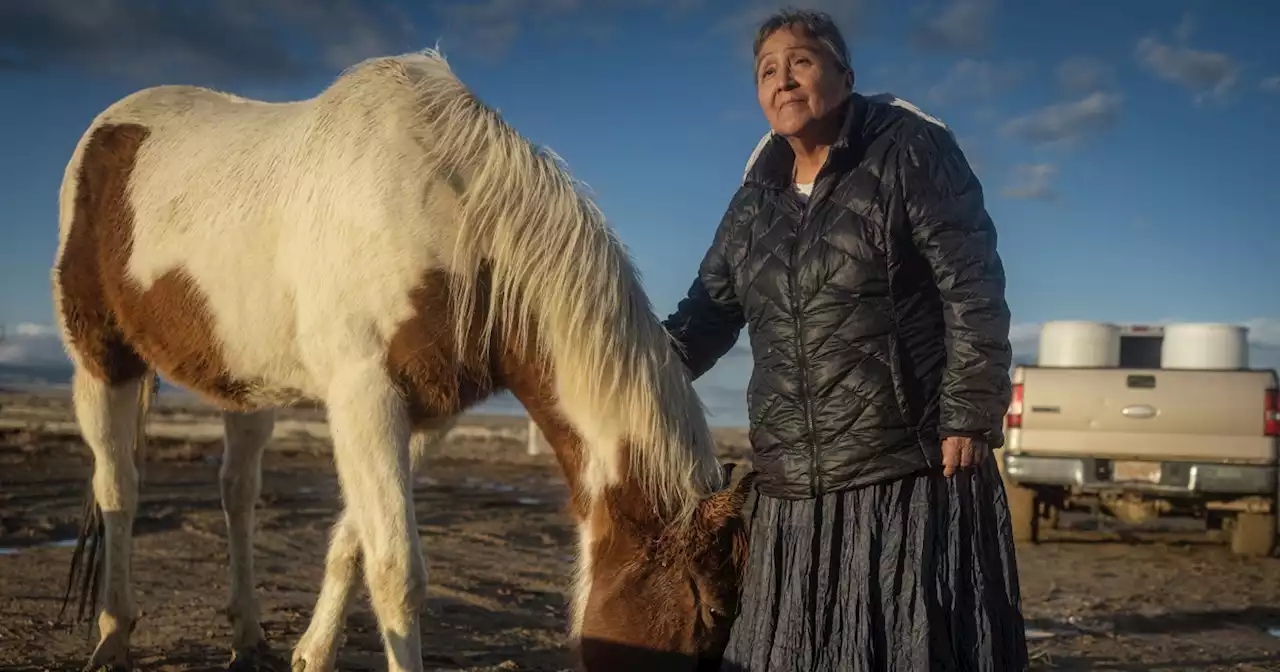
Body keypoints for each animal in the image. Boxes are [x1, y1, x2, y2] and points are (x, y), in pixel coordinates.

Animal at [49, 48, 752, 670]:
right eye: (706, 613)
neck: (454, 221)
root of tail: (107, 130)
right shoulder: (365, 396)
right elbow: (396, 572)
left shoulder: (426, 413)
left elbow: (355, 543)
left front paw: (312, 654)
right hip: (101, 361)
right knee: (118, 489)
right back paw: (112, 638)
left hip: (245, 384)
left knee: (237, 494)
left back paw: (247, 638)